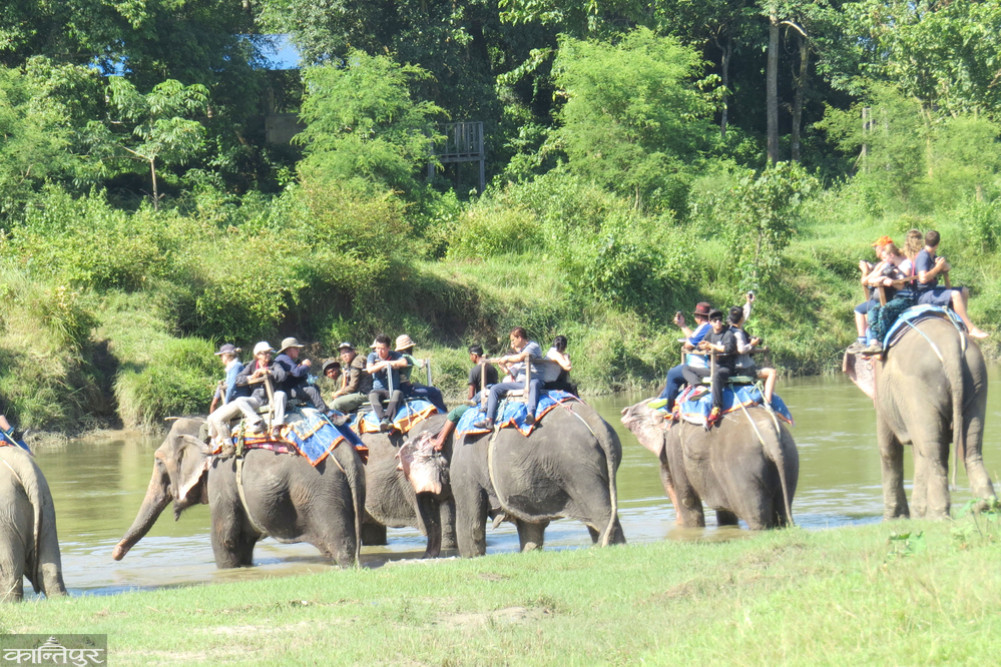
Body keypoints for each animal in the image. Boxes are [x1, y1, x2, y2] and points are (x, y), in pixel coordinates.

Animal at [0, 445, 67, 601]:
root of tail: (25, 466)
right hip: (46, 505)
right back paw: (60, 598)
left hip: (6, 513)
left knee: (9, 569)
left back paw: (9, 602)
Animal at [113, 416, 365, 569]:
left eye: (158, 461)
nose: (115, 554)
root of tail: (347, 455)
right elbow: (243, 542)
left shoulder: (221, 478)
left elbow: (225, 539)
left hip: (323, 494)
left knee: (340, 543)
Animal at [419, 400, 625, 558]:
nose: (427, 555)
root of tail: (595, 420)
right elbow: (530, 527)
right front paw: (529, 552)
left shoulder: (465, 466)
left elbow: (472, 525)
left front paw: (471, 557)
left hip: (578, 467)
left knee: (600, 510)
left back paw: (608, 546)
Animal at [620, 400, 798, 529]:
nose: (624, 411)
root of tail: (769, 433)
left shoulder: (675, 444)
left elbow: (687, 499)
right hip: (789, 459)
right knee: (783, 508)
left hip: (743, 471)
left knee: (756, 515)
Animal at [844, 314, 996, 519]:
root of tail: (950, 346)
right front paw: (914, 515)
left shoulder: (884, 395)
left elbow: (888, 448)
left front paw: (894, 519)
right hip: (976, 378)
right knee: (969, 447)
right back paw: (983, 507)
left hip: (919, 387)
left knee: (932, 452)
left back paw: (936, 517)